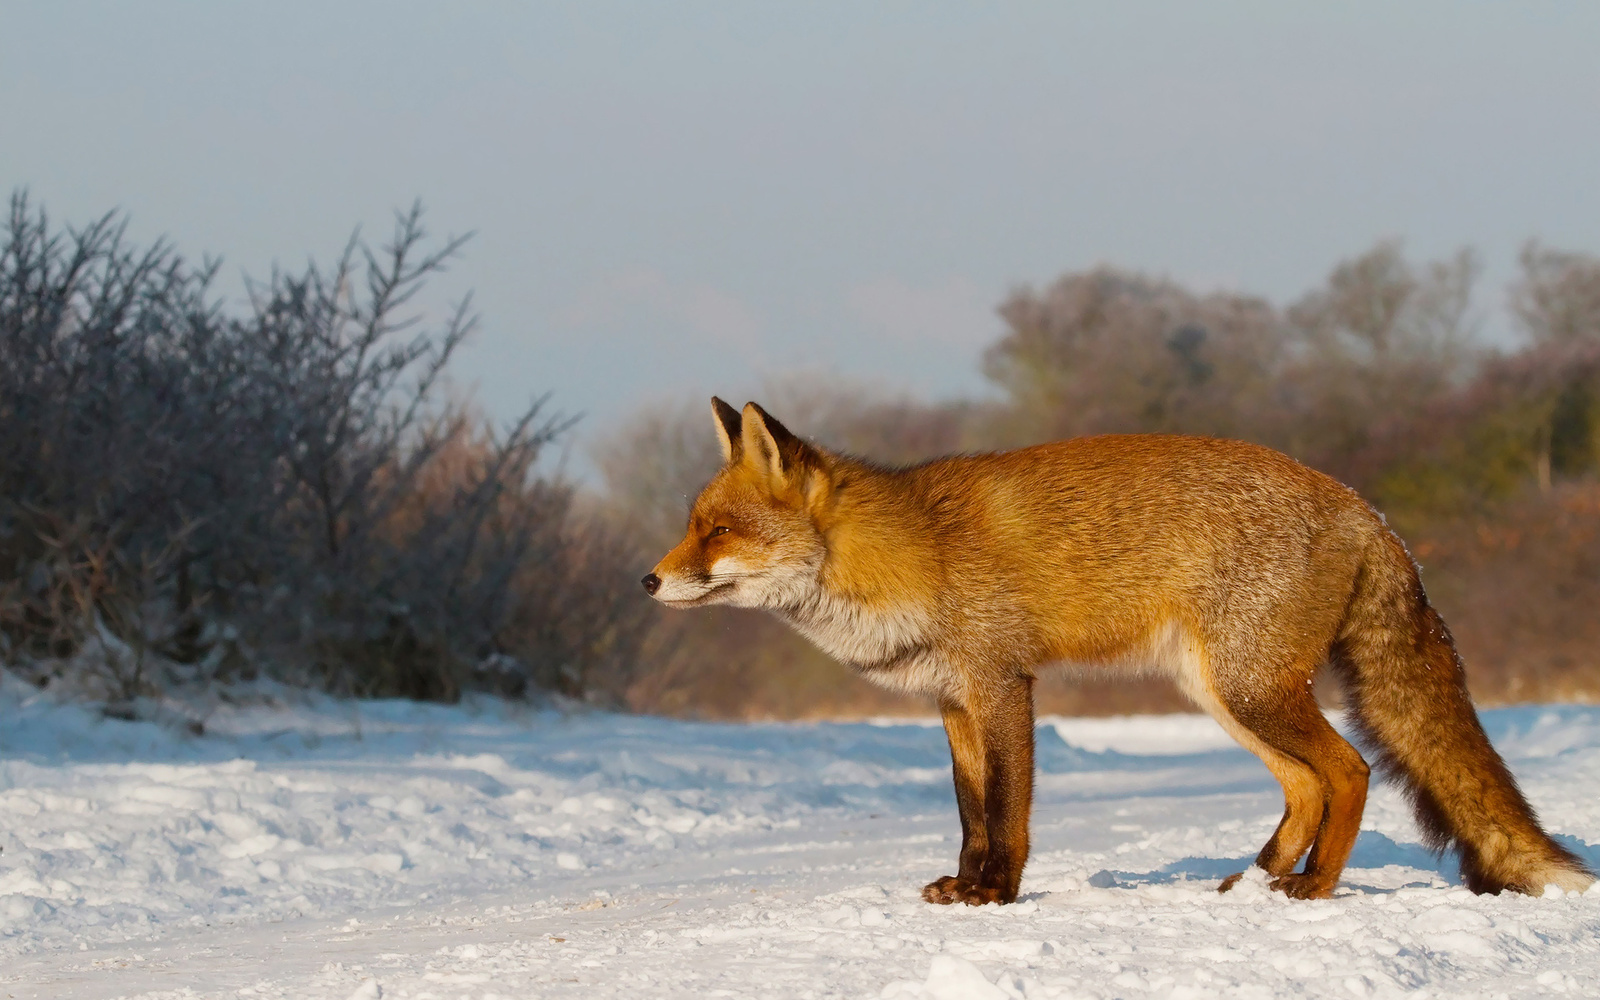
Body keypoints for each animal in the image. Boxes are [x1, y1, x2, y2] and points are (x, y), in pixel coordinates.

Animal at [643, 398, 1593, 902]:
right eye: (692, 525)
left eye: (718, 531)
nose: (647, 581)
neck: (909, 554)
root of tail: (1365, 507)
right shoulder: (952, 702)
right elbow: (968, 812)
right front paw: (963, 886)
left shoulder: (1002, 684)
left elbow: (1007, 813)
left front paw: (995, 895)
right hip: (1224, 694)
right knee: (1306, 785)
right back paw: (1249, 885)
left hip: (1252, 691)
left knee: (1350, 772)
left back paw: (1309, 889)